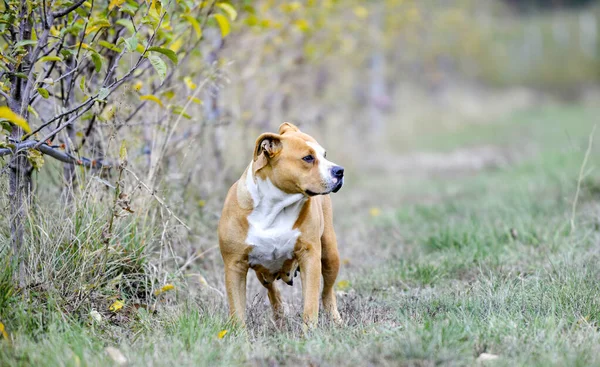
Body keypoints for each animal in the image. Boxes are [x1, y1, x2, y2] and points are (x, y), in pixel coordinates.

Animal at [218, 123, 344, 328]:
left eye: (324, 154)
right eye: (308, 158)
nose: (339, 171)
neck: (275, 207)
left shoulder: (310, 257)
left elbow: (310, 303)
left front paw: (309, 332)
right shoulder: (234, 266)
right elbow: (237, 311)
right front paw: (240, 335)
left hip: (330, 255)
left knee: (327, 291)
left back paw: (335, 319)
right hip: (262, 271)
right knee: (272, 291)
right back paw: (279, 318)